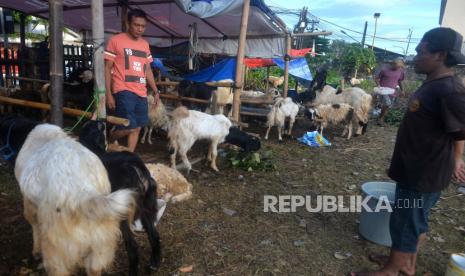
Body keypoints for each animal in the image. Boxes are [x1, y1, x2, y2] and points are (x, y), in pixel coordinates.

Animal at [78, 121, 161, 276]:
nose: (104, 121)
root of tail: (136, 167)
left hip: (122, 214)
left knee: (133, 247)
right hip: (145, 210)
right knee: (154, 236)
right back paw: (154, 264)